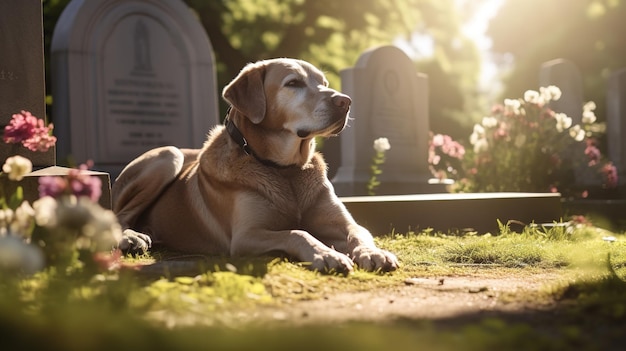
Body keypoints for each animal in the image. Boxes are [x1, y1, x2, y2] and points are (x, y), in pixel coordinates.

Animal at [111, 57, 394, 274]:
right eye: (293, 83)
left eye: (323, 83)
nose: (345, 101)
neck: (285, 170)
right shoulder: (246, 236)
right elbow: (296, 232)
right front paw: (326, 254)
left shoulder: (342, 223)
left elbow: (358, 232)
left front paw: (373, 252)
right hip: (169, 156)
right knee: (120, 215)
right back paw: (131, 237)